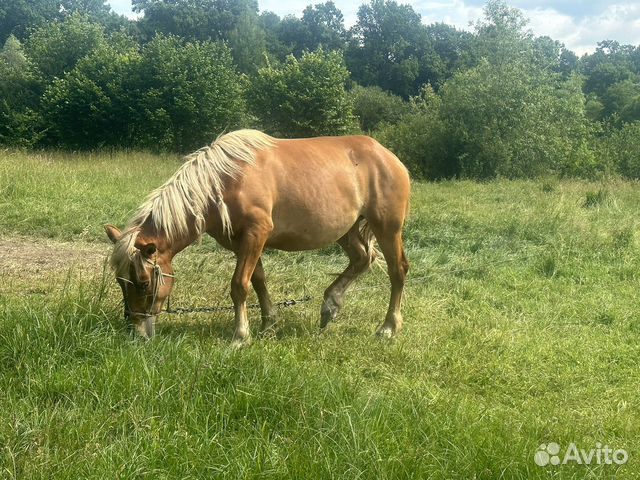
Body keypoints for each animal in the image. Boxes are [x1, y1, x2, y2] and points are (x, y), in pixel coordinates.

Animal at [102, 129, 408, 344]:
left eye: (143, 283)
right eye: (120, 281)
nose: (137, 332)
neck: (225, 181)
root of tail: (389, 157)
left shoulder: (255, 234)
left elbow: (239, 285)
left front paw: (240, 336)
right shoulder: (244, 243)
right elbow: (258, 281)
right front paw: (268, 324)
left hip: (387, 228)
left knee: (398, 271)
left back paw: (388, 328)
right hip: (347, 230)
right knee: (361, 258)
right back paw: (330, 306)